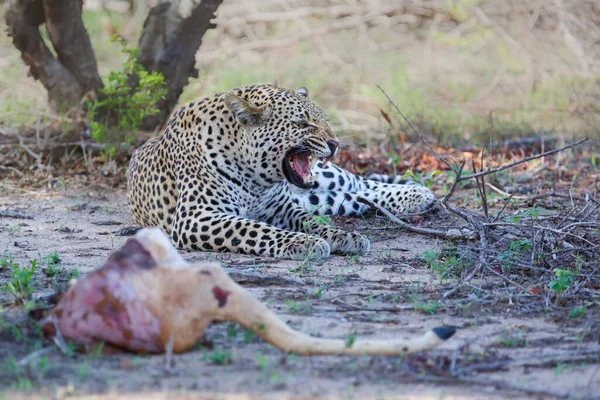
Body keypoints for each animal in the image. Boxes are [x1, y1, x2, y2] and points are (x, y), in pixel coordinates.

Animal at [127, 84, 436, 260]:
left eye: (324, 120)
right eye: (302, 124)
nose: (335, 144)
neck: (256, 181)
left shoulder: (281, 208)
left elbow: (312, 222)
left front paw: (342, 237)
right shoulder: (197, 217)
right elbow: (255, 229)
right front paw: (306, 242)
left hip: (326, 176)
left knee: (358, 183)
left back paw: (417, 194)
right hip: (323, 197)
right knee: (351, 198)